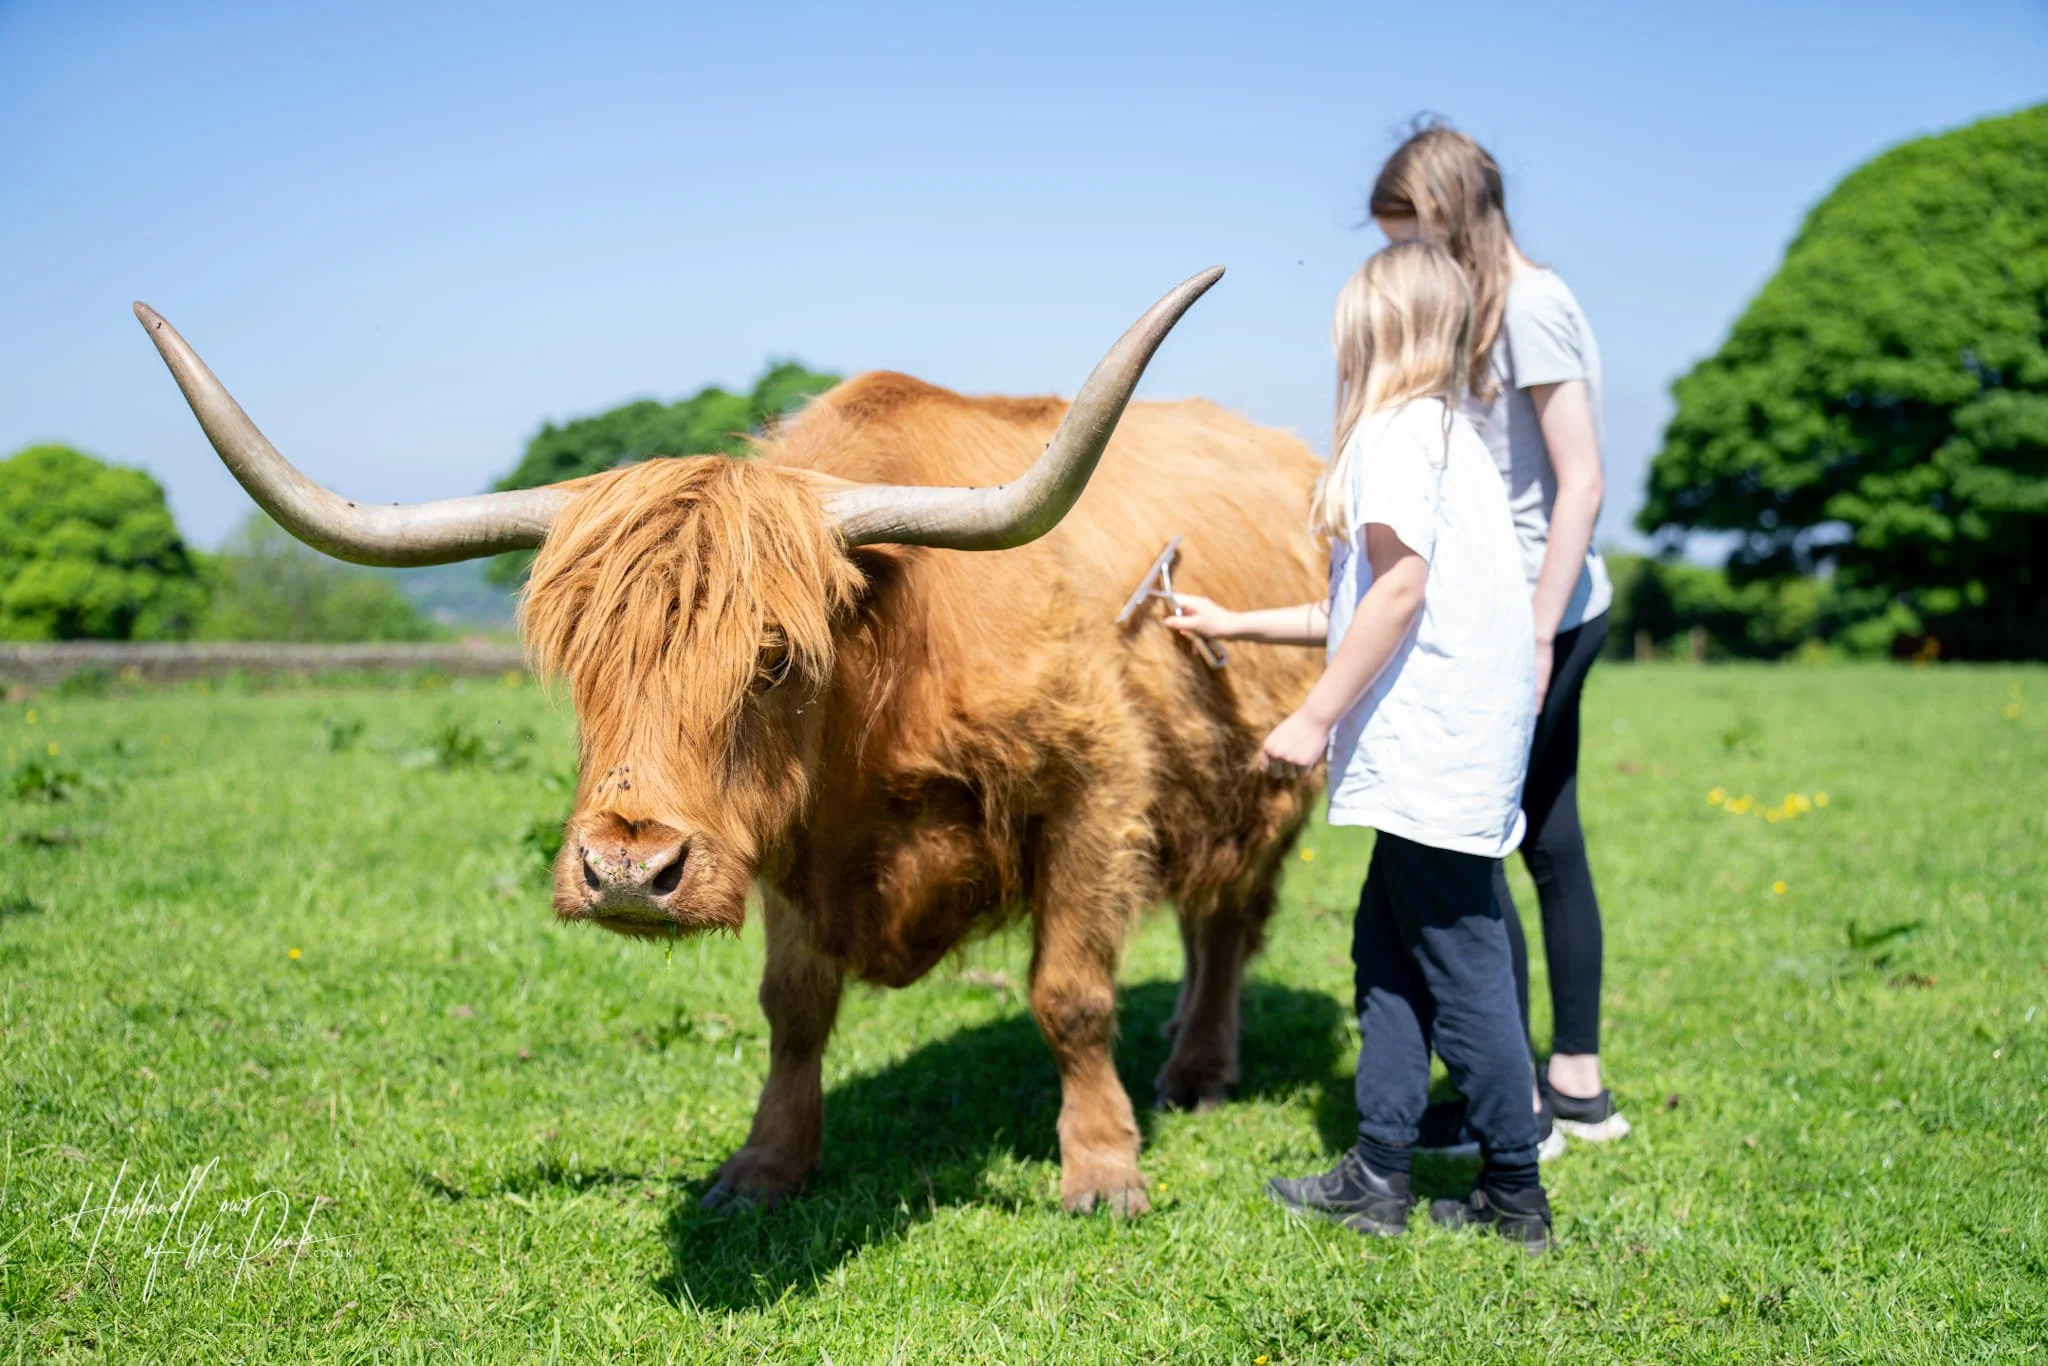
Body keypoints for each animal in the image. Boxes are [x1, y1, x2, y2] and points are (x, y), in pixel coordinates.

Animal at [135, 269, 1325, 1215]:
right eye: (582, 662)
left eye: (775, 659)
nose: (625, 871)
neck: (891, 682)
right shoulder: (784, 846)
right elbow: (792, 1011)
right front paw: (764, 1166)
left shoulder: (1092, 795)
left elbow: (1070, 998)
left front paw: (1103, 1169)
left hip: (1267, 792)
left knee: (1227, 923)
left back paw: (1195, 1069)